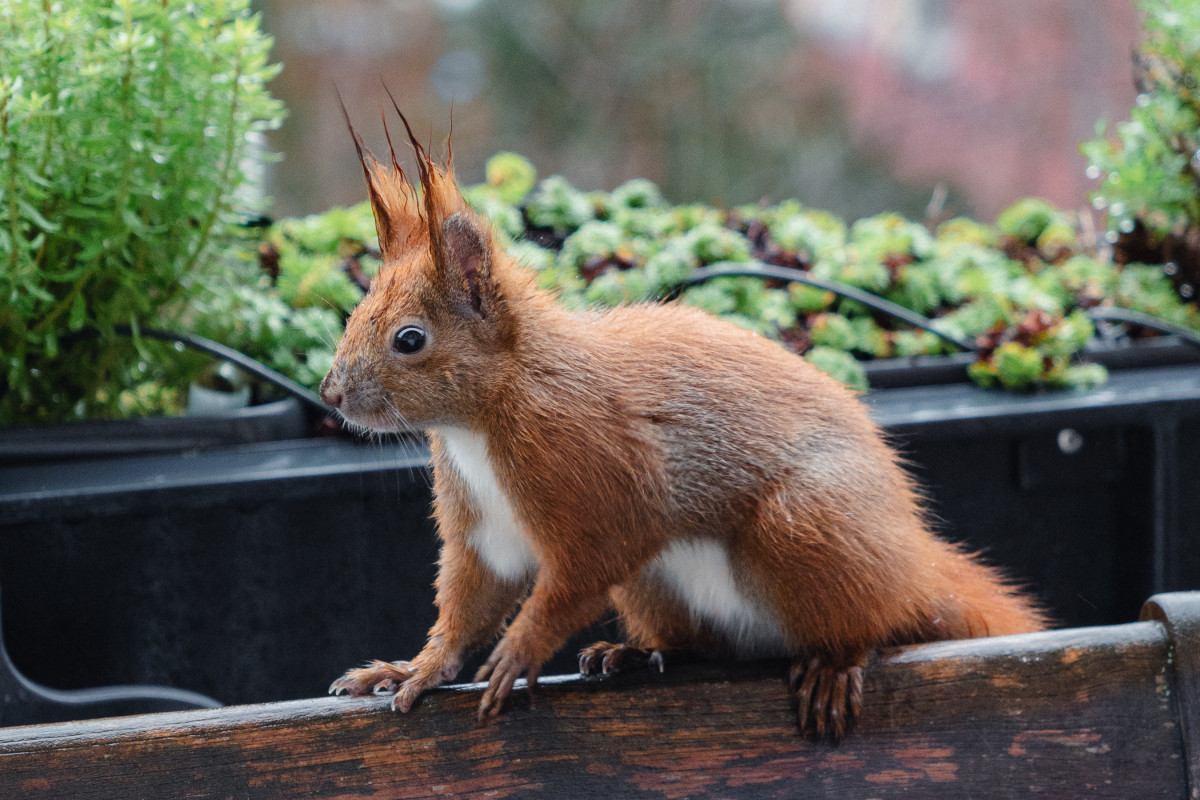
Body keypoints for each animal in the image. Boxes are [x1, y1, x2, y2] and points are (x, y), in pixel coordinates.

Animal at [324, 104, 1046, 738]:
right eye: (356, 312)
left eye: (410, 340)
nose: (331, 395)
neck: (482, 419)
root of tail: (911, 559)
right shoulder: (484, 520)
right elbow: (472, 599)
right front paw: (413, 670)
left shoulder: (589, 464)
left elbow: (585, 568)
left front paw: (518, 652)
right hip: (659, 585)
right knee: (703, 646)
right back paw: (632, 654)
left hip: (811, 527)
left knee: (872, 618)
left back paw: (836, 663)